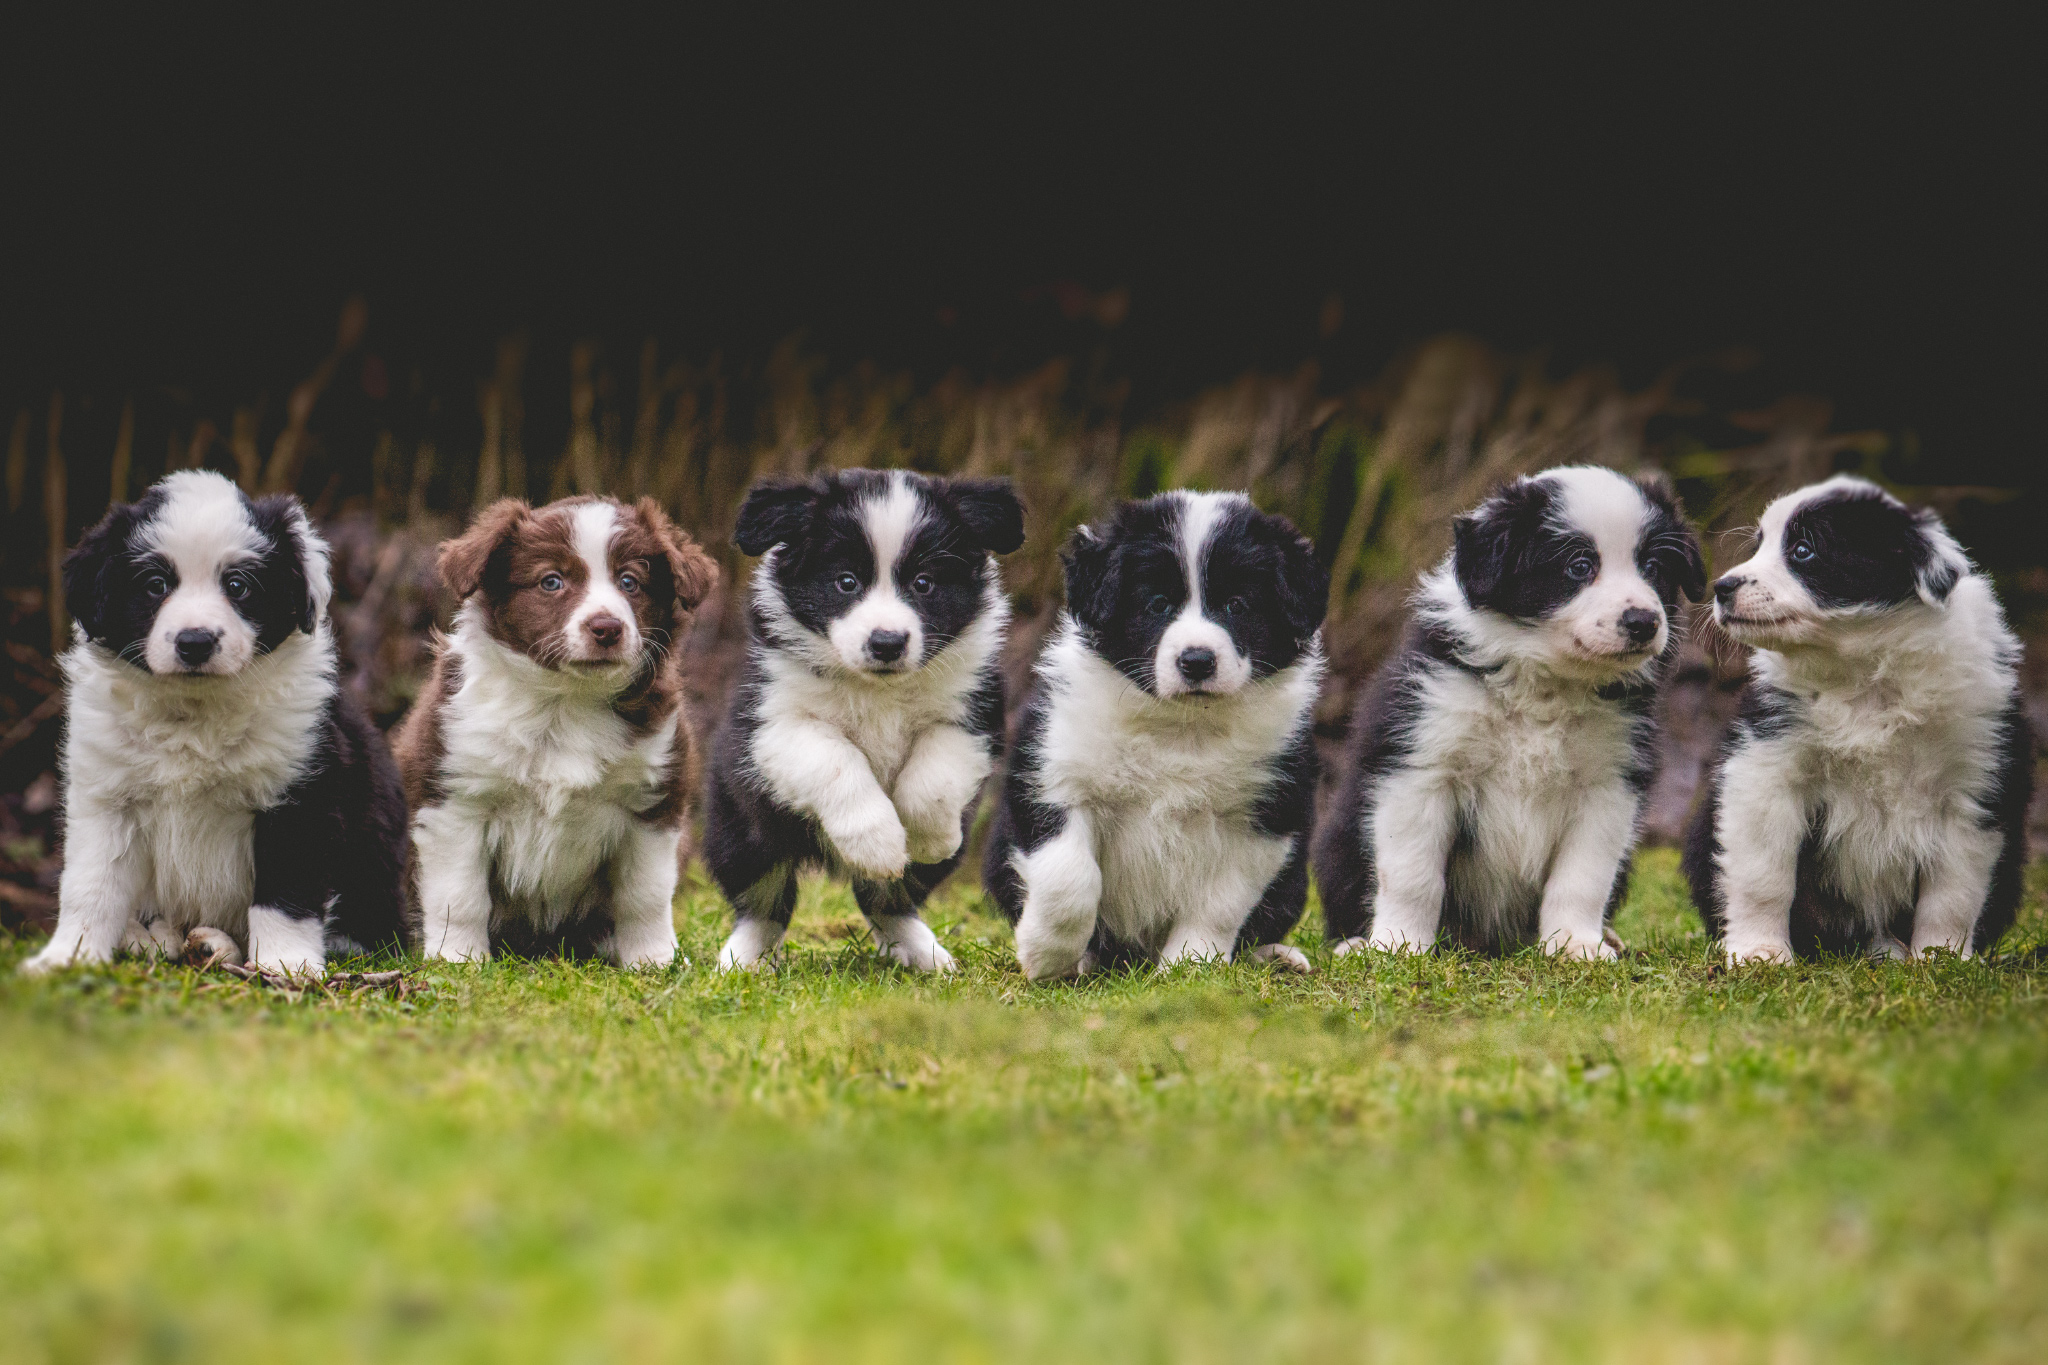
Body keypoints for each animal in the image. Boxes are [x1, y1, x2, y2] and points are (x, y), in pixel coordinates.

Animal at [20, 474, 407, 978]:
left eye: (238, 586)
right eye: (155, 585)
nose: (195, 642)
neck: (195, 712)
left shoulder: (300, 791)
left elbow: (285, 892)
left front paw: (287, 965)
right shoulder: (107, 797)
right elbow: (90, 885)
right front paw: (70, 956)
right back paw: (157, 938)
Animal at [393, 497, 720, 965]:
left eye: (630, 581)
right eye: (552, 581)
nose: (607, 628)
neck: (564, 704)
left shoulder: (652, 801)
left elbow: (645, 895)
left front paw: (654, 960)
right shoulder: (455, 799)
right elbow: (459, 894)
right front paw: (459, 958)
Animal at [704, 466, 1024, 970]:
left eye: (924, 583)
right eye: (846, 581)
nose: (887, 642)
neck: (878, 688)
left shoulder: (975, 712)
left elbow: (933, 778)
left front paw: (924, 840)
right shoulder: (773, 724)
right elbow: (836, 759)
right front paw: (878, 844)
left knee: (888, 900)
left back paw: (926, 954)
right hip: (742, 832)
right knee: (763, 901)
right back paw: (742, 960)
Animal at [987, 491, 1327, 982]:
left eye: (1237, 605)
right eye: (1158, 604)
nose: (1197, 661)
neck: (1181, 727)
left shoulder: (1263, 815)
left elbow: (1220, 902)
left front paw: (1190, 965)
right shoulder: (1054, 775)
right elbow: (1070, 877)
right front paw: (1047, 955)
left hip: (1294, 881)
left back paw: (1277, 956)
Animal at [1310, 470, 1712, 961]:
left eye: (1653, 567)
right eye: (1579, 566)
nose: (1643, 622)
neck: (1547, 685)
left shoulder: (1607, 783)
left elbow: (1583, 877)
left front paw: (1575, 945)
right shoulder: (1422, 765)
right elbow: (1411, 875)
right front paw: (1399, 946)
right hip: (1338, 842)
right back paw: (1355, 942)